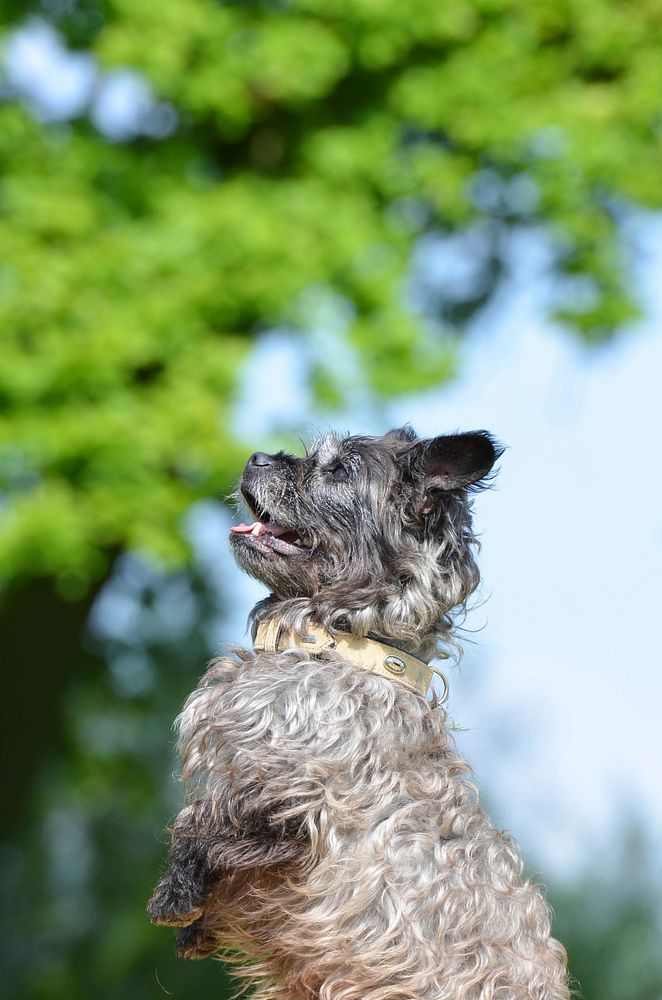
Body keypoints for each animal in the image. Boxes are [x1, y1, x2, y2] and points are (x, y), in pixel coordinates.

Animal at [149, 428, 572, 1000]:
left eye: (340, 471)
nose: (256, 457)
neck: (335, 645)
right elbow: (206, 817)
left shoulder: (304, 805)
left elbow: (209, 825)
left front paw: (177, 895)